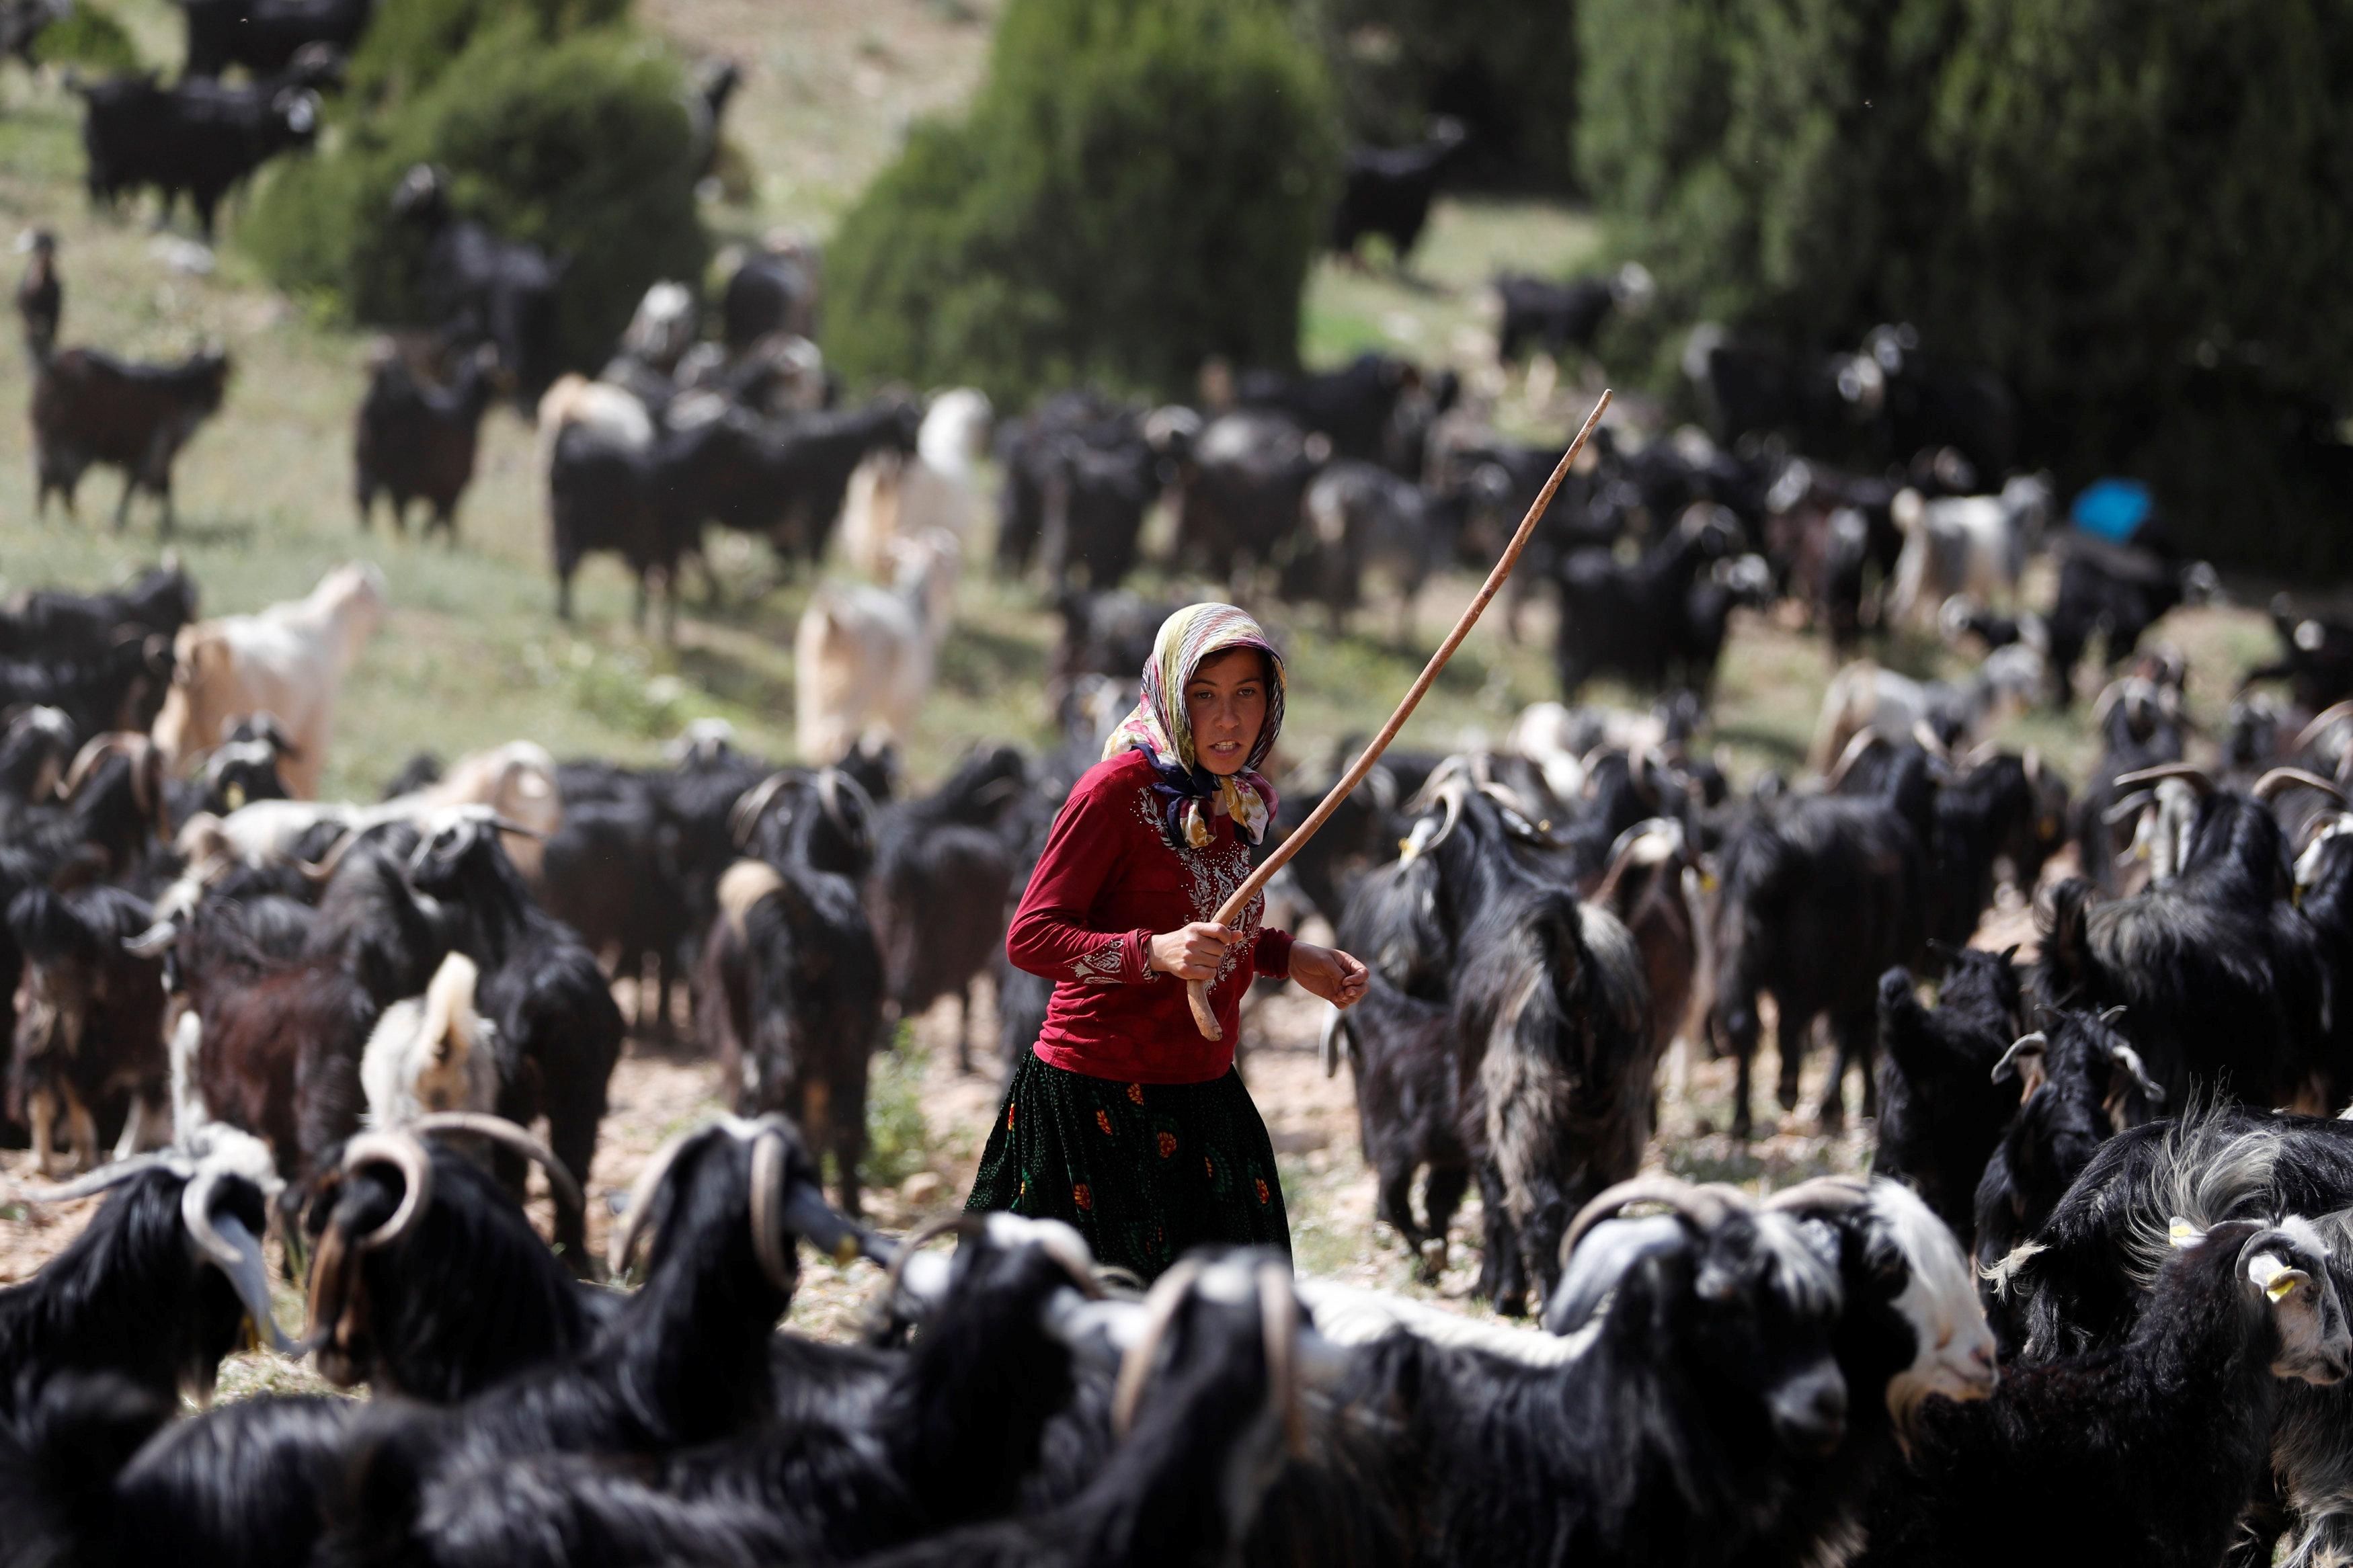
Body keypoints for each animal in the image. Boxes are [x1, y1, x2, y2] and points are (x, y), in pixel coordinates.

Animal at [795, 531, 960, 771]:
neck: (915, 605)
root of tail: (835, 616)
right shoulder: (903, 707)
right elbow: (891, 743)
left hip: (813, 685)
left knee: (815, 735)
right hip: (857, 689)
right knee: (834, 738)